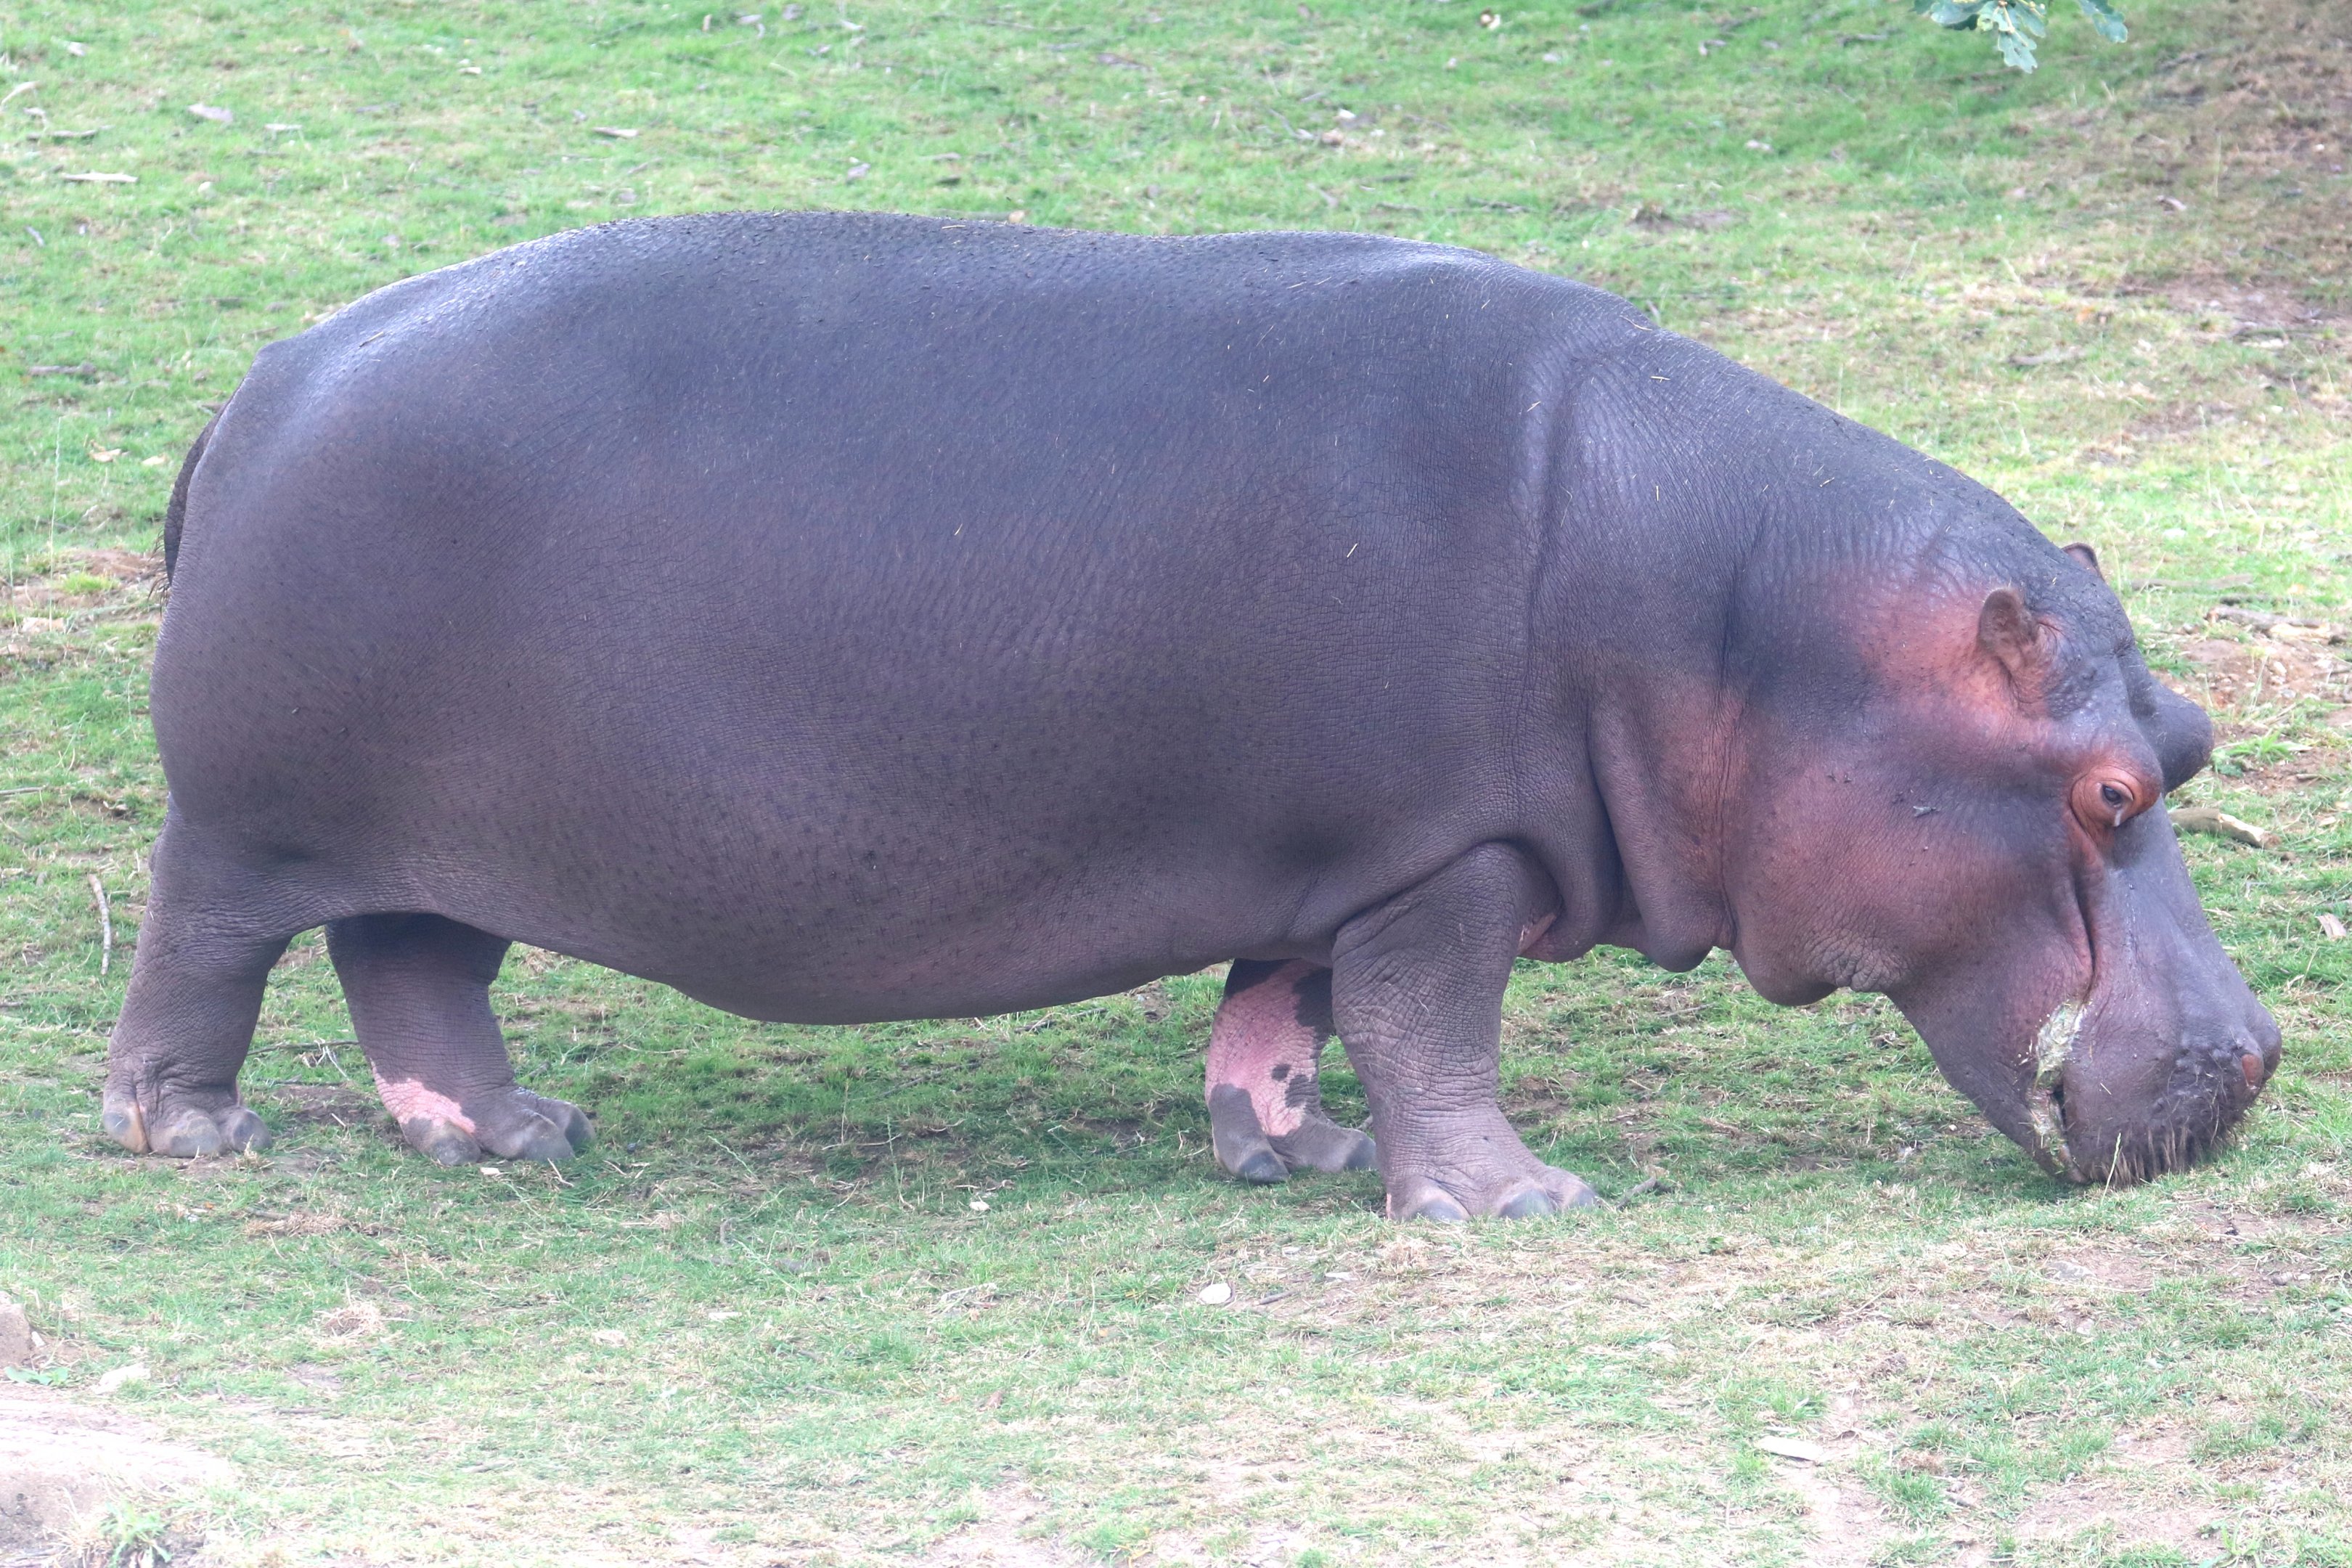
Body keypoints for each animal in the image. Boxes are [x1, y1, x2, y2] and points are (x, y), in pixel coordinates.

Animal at [102, 212, 2279, 1218]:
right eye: (2101, 791)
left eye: (2185, 744)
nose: (2253, 1057)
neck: (1751, 624)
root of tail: (261, 381)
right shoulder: (1449, 851)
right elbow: (1431, 1022)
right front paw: (1513, 1202)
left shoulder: (1328, 853)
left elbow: (1284, 1015)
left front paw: (1294, 1159)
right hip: (248, 821)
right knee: (206, 952)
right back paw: (192, 1136)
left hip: (416, 837)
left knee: (415, 969)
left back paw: (520, 1134)